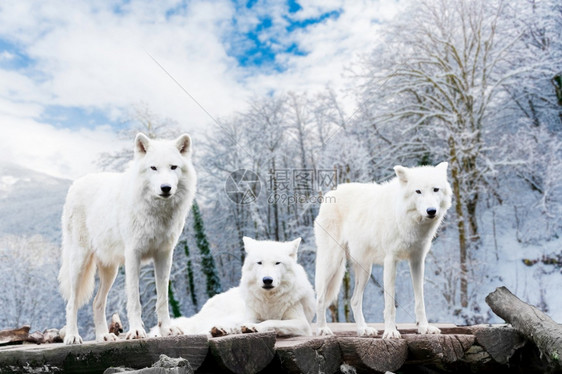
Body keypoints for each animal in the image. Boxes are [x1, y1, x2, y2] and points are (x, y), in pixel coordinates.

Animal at [58, 132, 196, 344]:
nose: (165, 188)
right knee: (71, 303)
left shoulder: (164, 255)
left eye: (173, 167)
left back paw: (104, 336)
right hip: (79, 264)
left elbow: (163, 299)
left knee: (97, 302)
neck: (157, 213)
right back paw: (73, 336)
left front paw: (167, 330)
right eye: (153, 168)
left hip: (111, 270)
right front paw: (137, 331)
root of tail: (76, 183)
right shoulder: (133, 255)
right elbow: (134, 299)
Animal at [166, 238, 316, 338]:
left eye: (277, 263)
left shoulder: (302, 323)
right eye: (259, 263)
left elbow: (272, 321)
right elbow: (253, 322)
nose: (267, 280)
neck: (269, 300)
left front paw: (254, 327)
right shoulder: (250, 316)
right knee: (201, 330)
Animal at [316, 162, 450, 338]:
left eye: (435, 189)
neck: (407, 220)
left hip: (365, 271)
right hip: (332, 264)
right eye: (418, 191)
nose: (431, 211)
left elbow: (420, 301)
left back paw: (363, 330)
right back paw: (322, 329)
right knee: (320, 298)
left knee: (354, 300)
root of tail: (331, 193)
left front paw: (424, 328)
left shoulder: (417, 261)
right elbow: (390, 304)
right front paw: (391, 332)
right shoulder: (390, 261)